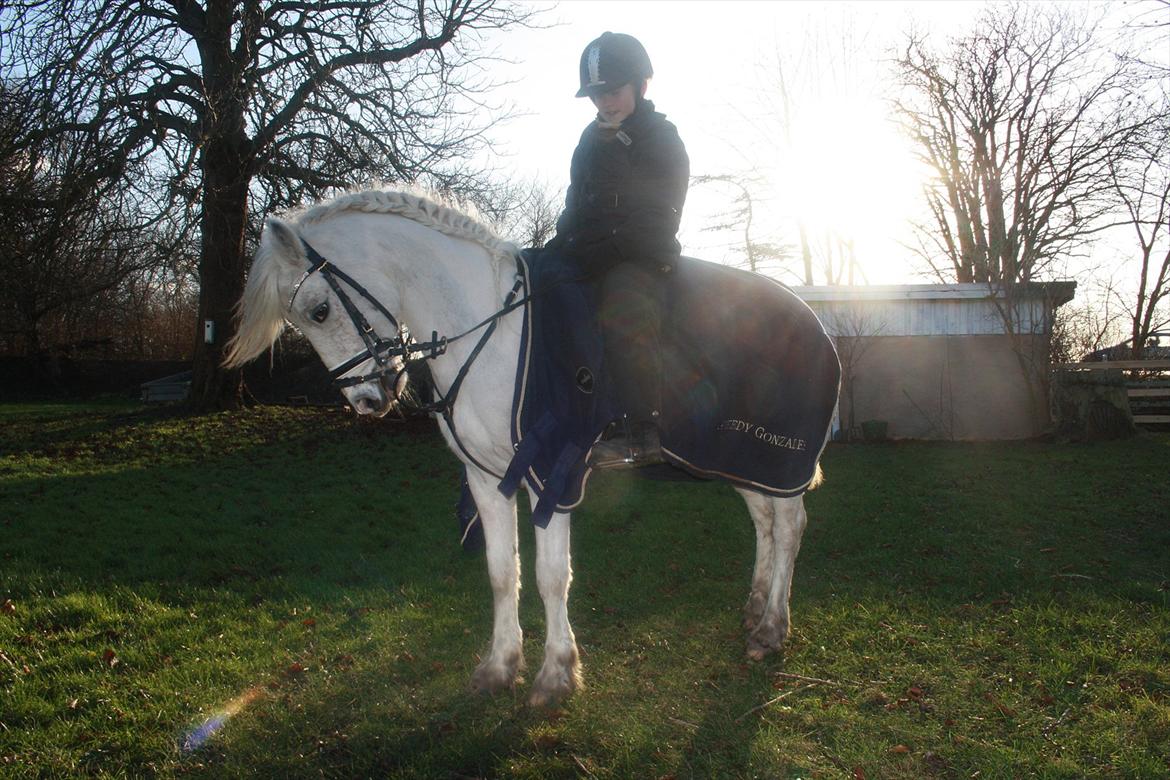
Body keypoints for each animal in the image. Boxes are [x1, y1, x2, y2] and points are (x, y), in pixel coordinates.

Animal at [224, 188, 826, 707]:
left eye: (319, 310)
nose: (368, 400)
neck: (486, 330)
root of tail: (810, 318)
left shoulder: (548, 474)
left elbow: (551, 576)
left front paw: (556, 675)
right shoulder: (487, 479)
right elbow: (501, 572)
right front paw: (499, 667)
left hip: (779, 460)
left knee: (790, 527)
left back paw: (772, 628)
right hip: (736, 461)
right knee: (765, 523)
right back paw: (756, 608)